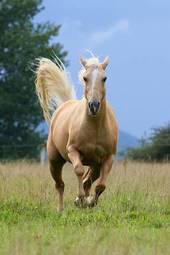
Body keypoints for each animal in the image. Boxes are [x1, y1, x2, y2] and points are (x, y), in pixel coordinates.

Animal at [35, 55, 118, 211]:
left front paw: (89, 201)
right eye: (85, 78)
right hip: (54, 161)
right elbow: (78, 170)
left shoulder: (108, 158)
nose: (94, 106)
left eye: (104, 78)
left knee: (87, 181)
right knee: (60, 185)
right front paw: (80, 198)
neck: (94, 128)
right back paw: (61, 210)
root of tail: (64, 105)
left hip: (95, 165)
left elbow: (100, 186)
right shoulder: (73, 151)